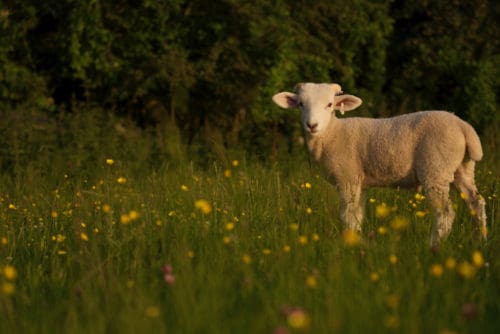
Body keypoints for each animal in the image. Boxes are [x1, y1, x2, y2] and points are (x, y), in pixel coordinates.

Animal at [272, 82, 486, 247]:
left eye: (330, 104)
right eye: (301, 104)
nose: (312, 125)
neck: (332, 134)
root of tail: (463, 126)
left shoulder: (347, 178)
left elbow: (347, 216)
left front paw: (350, 246)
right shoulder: (359, 182)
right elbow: (357, 215)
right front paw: (357, 241)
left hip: (436, 168)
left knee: (445, 213)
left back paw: (433, 246)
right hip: (462, 168)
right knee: (476, 202)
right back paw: (480, 241)